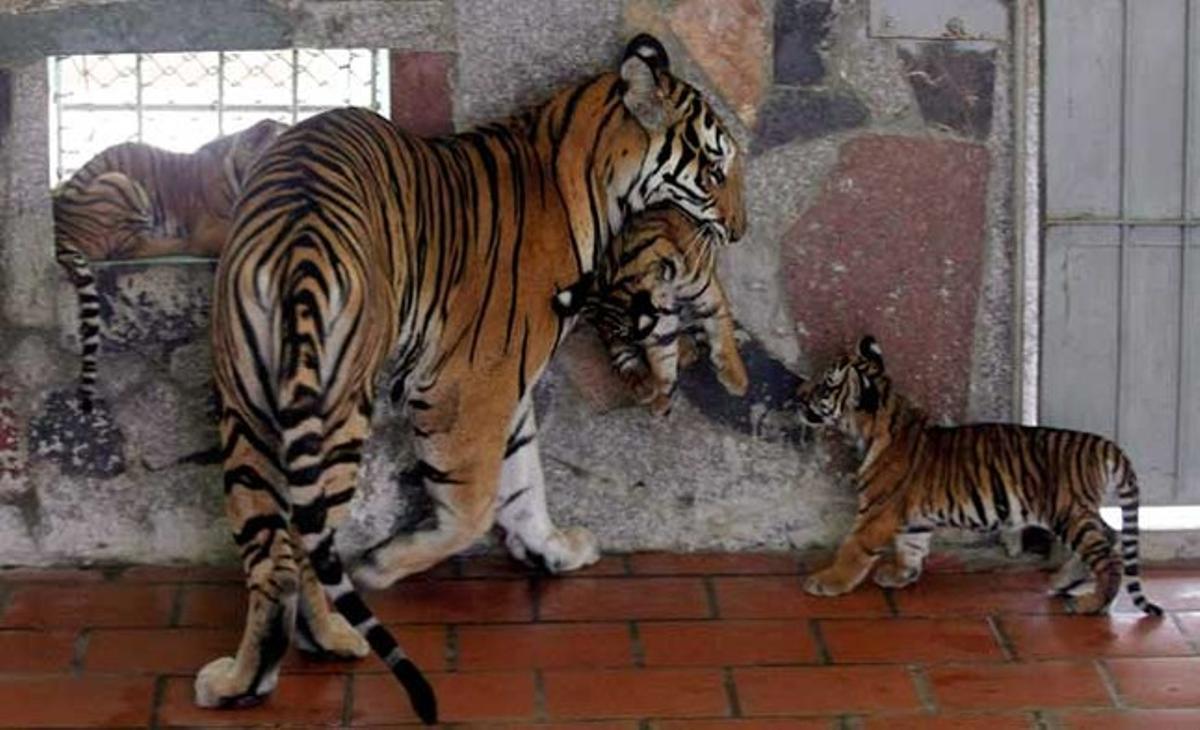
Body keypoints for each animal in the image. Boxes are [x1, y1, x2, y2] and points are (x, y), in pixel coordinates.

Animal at [584, 203, 748, 416]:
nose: (638, 344)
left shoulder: (707, 297)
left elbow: (722, 333)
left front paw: (737, 378)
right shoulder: (660, 326)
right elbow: (663, 357)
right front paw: (661, 397)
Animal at [796, 335, 1162, 617]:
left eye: (826, 384)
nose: (799, 393)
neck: (873, 425)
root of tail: (1103, 444)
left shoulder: (877, 512)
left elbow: (853, 547)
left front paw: (827, 582)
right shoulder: (912, 517)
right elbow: (911, 545)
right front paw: (901, 575)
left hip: (1067, 512)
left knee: (1109, 557)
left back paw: (1091, 604)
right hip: (1078, 512)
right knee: (1110, 536)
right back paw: (1062, 582)